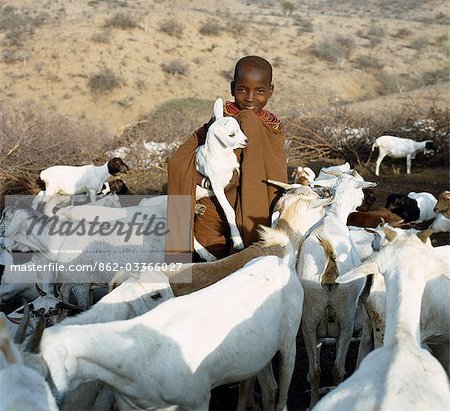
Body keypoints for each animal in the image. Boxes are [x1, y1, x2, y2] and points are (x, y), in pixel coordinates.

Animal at [296, 171, 376, 408]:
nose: (363, 200)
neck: (332, 218)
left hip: (309, 317)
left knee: (316, 371)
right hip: (346, 318)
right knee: (338, 370)